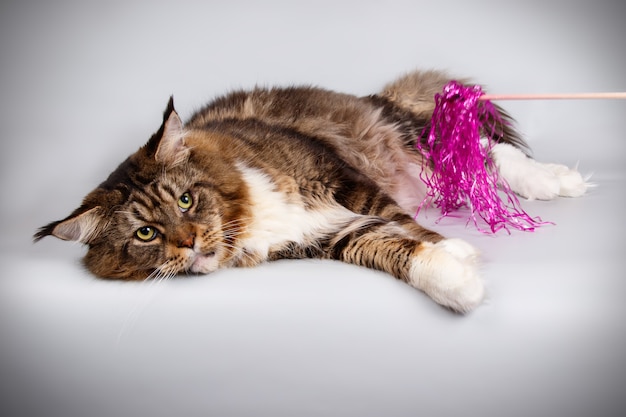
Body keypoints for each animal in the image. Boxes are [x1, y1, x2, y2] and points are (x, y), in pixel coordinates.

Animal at [34, 70, 588, 314]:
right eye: (146, 233)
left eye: (186, 200)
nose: (188, 243)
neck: (249, 217)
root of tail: (373, 96)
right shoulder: (328, 236)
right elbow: (394, 248)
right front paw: (454, 276)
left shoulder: (342, 178)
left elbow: (404, 223)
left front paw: (453, 248)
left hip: (402, 137)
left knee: (483, 151)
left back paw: (555, 180)